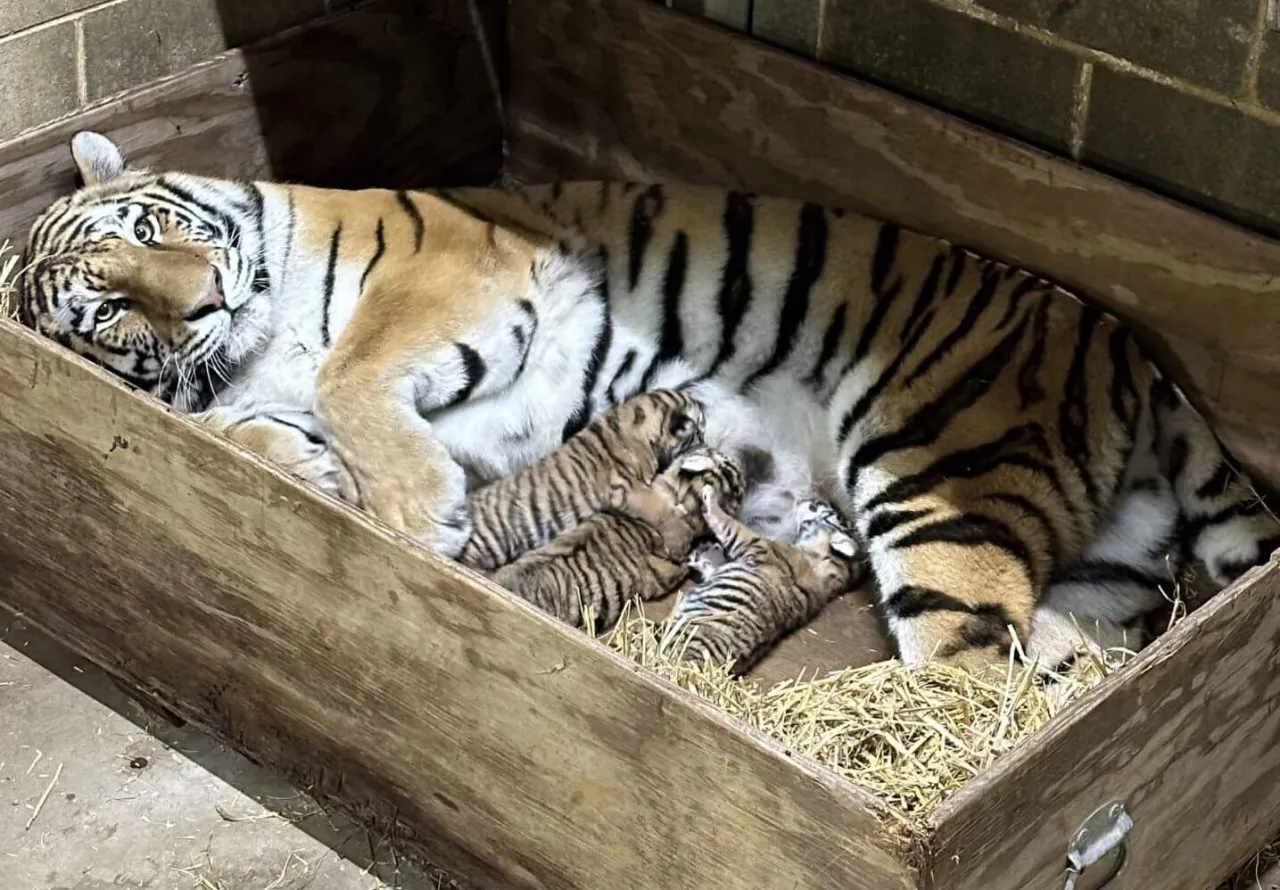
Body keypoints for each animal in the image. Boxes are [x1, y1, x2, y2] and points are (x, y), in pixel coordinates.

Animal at [20, 130, 1280, 676]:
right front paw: (318, 474)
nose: (205, 297)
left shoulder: (454, 273)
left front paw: (414, 512)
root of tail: (1127, 349)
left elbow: (350, 372)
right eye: (111, 310)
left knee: (960, 677)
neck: (250, 341)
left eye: (150, 228)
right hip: (1094, 570)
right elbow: (249, 429)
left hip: (934, 478)